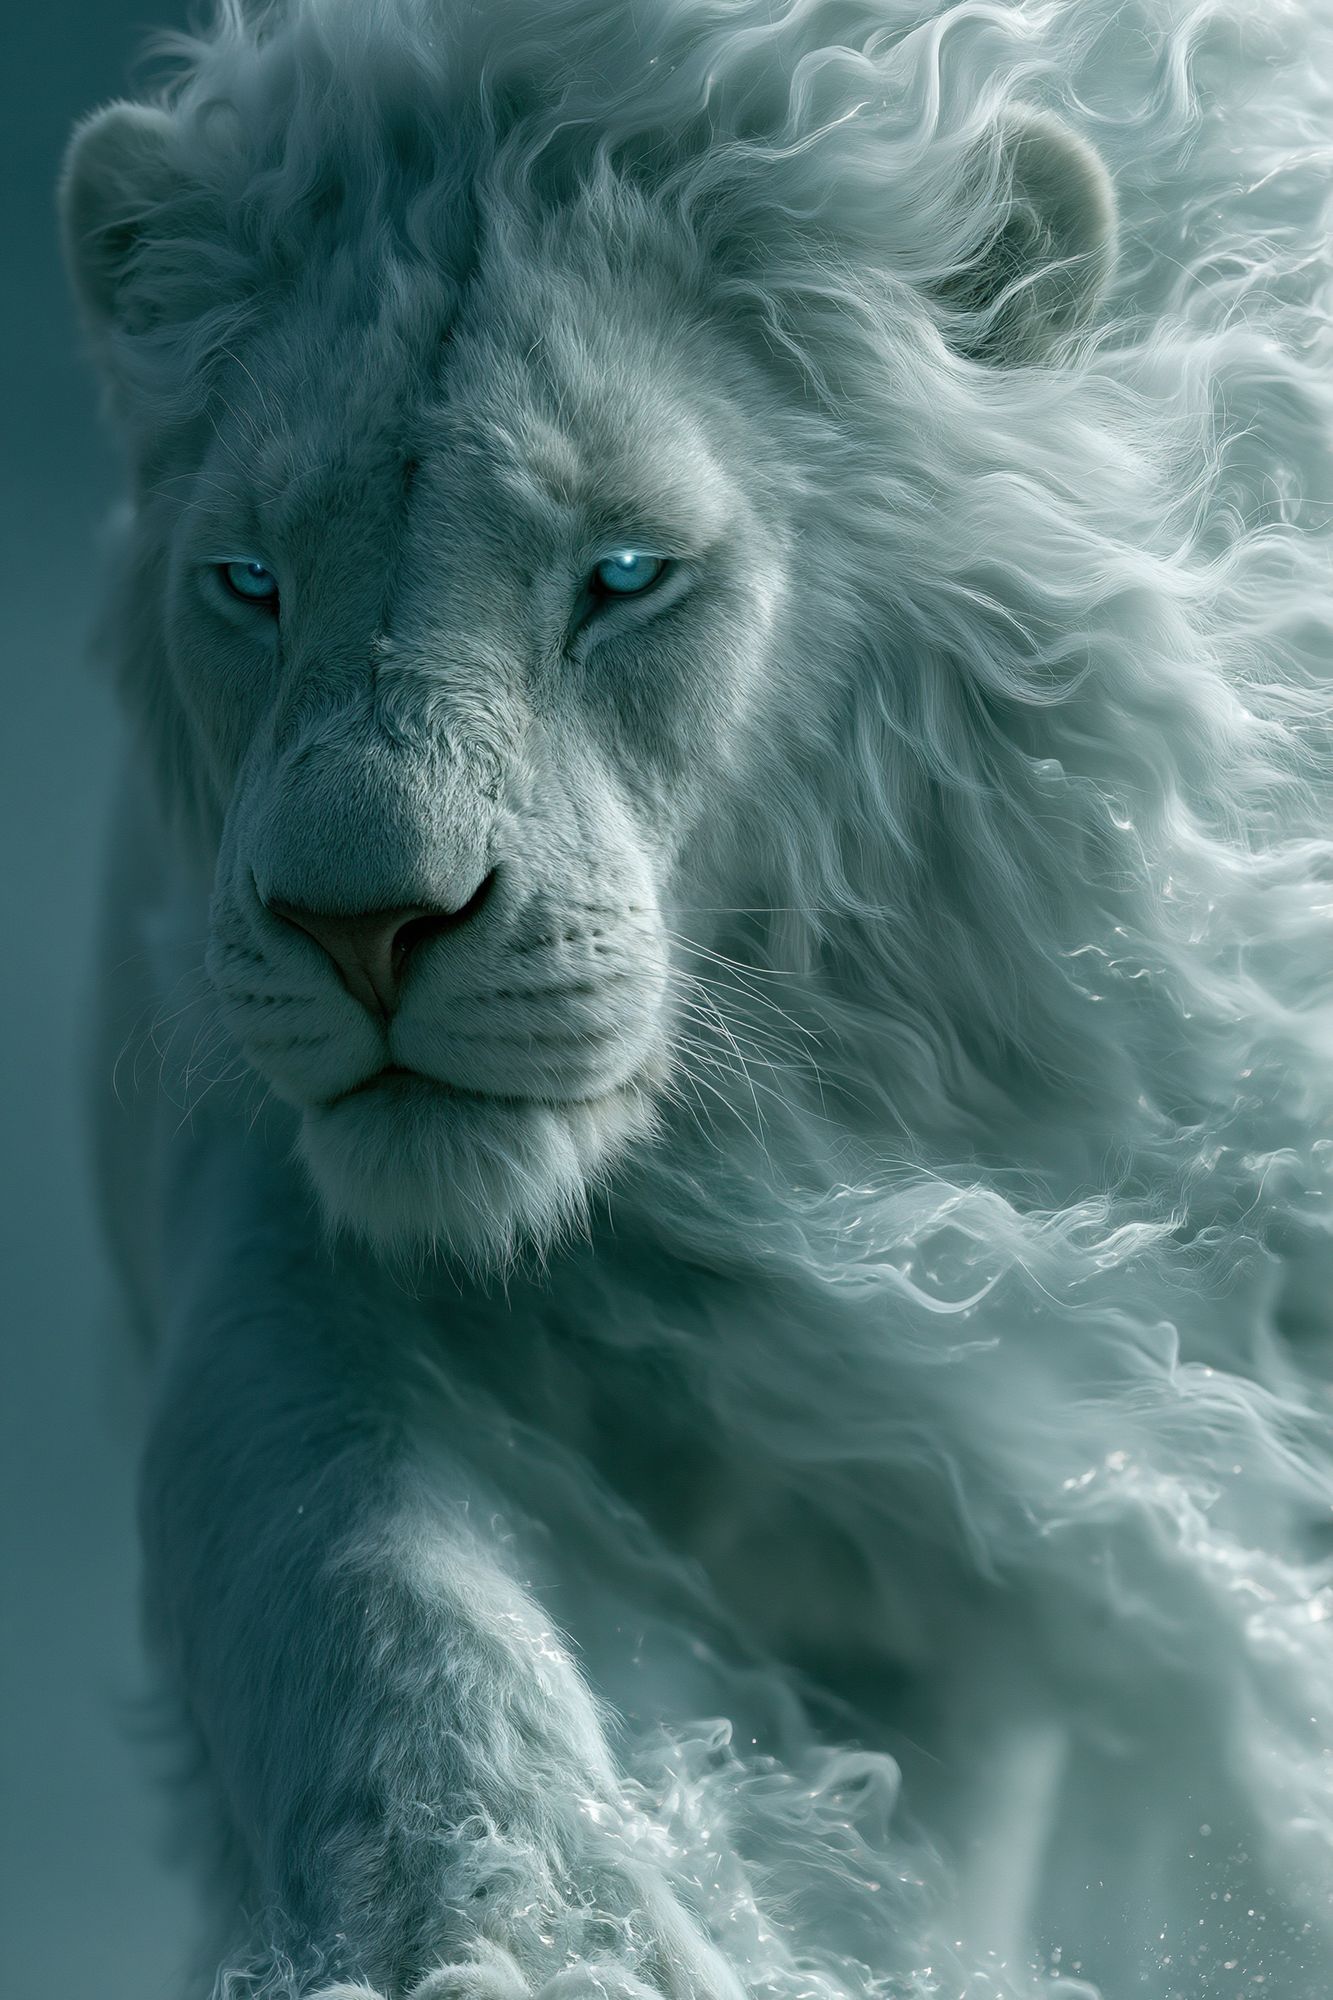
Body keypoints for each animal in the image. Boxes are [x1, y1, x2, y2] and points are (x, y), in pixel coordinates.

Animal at [60, 0, 1333, 1995]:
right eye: (250, 581)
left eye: (626, 575)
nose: (359, 929)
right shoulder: (288, 1218)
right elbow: (367, 1583)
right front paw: (499, 1929)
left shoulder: (996, 1527)